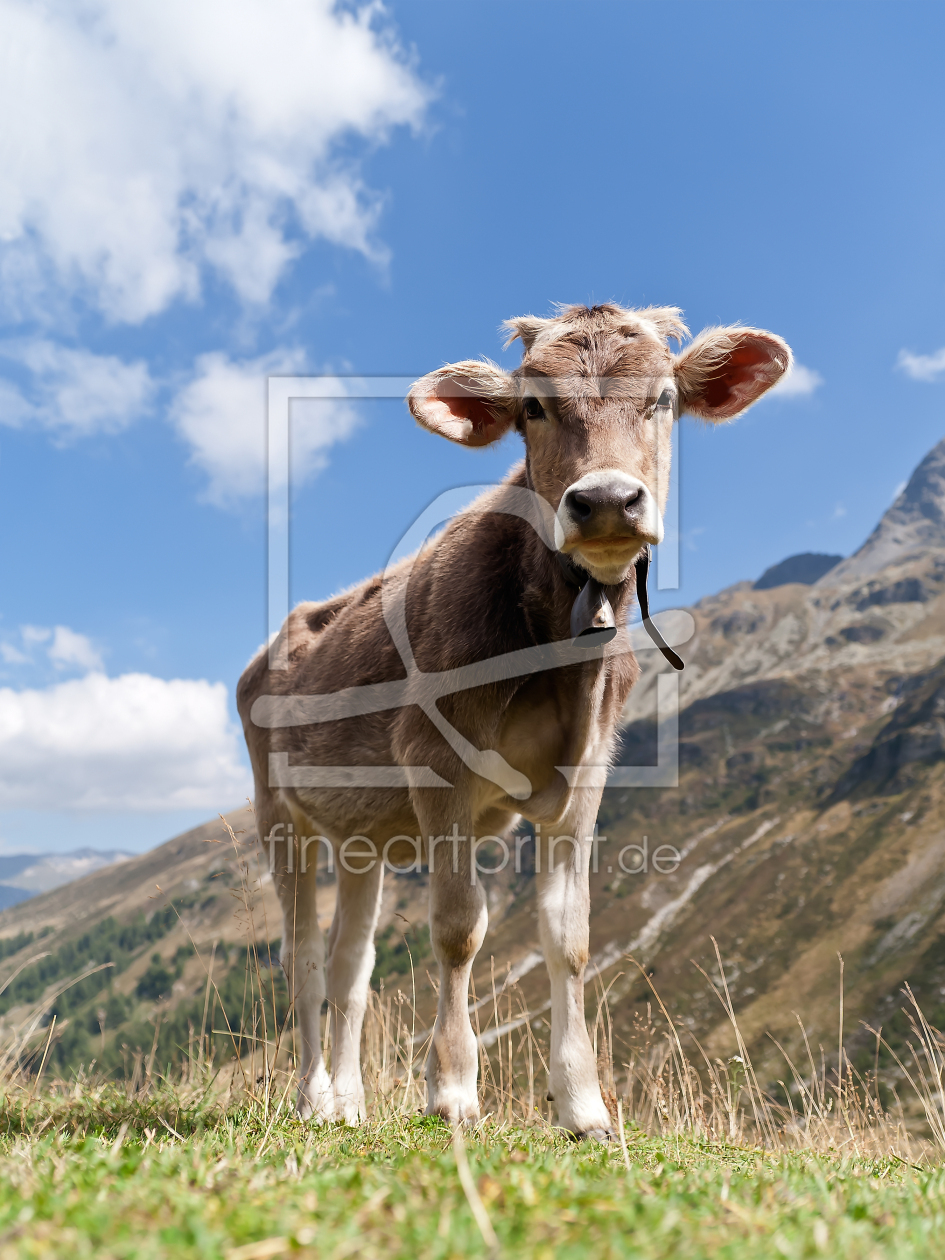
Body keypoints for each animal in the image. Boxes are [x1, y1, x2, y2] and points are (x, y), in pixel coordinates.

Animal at [238, 299, 791, 1139]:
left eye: (663, 398)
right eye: (532, 406)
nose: (605, 500)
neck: (556, 651)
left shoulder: (585, 775)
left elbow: (569, 936)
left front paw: (583, 1103)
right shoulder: (437, 761)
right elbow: (459, 926)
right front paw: (452, 1091)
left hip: (361, 838)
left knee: (348, 965)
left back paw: (348, 1103)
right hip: (281, 814)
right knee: (301, 959)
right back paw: (309, 1099)